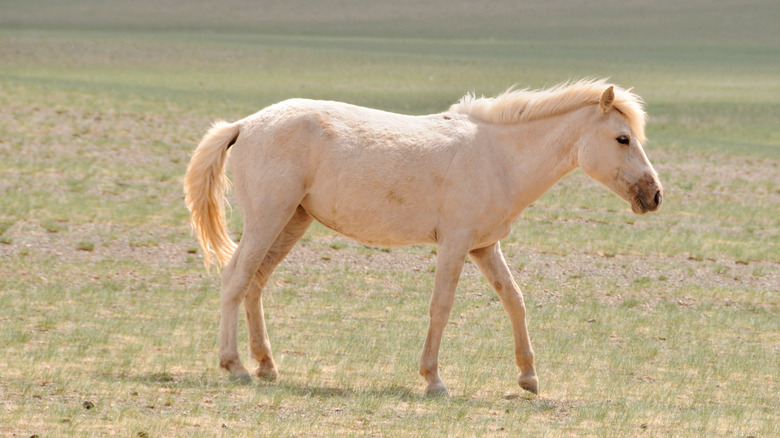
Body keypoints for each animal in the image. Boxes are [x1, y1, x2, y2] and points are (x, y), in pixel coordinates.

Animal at [184, 79, 663, 396]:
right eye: (622, 138)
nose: (655, 195)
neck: (499, 156)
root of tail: (245, 124)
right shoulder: (455, 243)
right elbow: (441, 307)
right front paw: (433, 380)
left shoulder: (484, 246)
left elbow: (514, 299)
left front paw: (529, 377)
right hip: (269, 218)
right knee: (235, 278)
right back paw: (235, 366)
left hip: (292, 221)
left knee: (255, 282)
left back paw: (266, 365)